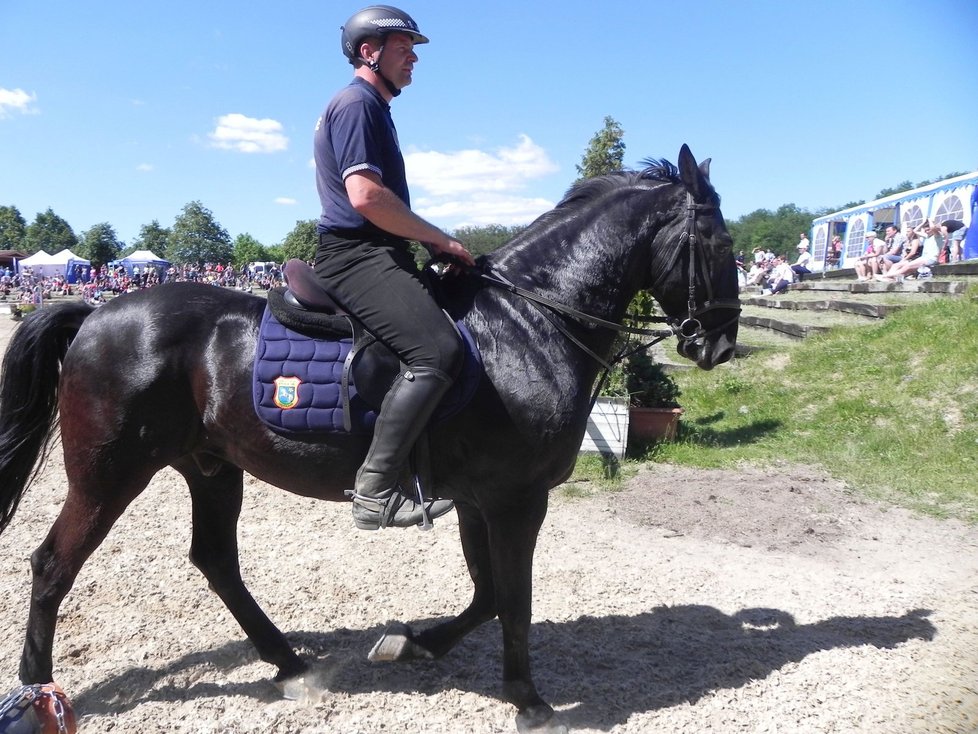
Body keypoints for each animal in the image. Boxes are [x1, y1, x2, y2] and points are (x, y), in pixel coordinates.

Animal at [0, 147, 732, 732]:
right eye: (720, 243)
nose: (720, 345)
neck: (527, 323)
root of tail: (96, 313)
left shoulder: (480, 497)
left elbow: (488, 595)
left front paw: (412, 645)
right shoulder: (516, 498)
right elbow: (514, 600)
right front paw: (529, 701)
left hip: (210, 467)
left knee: (215, 561)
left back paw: (288, 663)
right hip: (109, 475)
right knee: (53, 565)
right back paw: (37, 689)